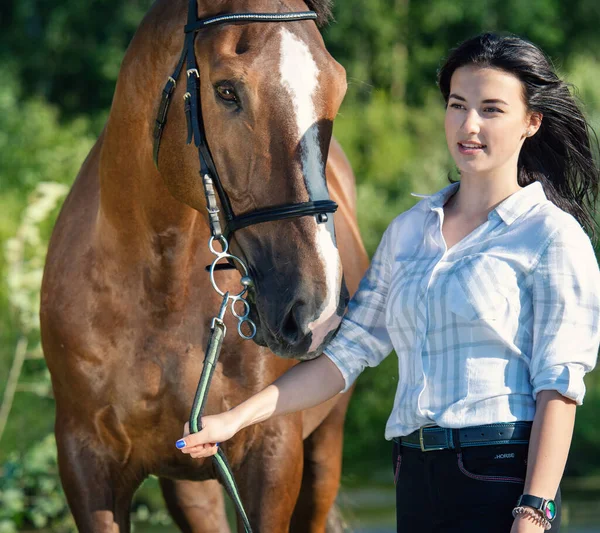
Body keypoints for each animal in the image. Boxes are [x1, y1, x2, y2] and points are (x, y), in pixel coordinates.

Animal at [39, 0, 368, 528]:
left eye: (336, 87)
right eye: (227, 90)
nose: (316, 313)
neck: (159, 289)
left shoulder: (273, 453)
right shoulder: (86, 463)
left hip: (323, 451)